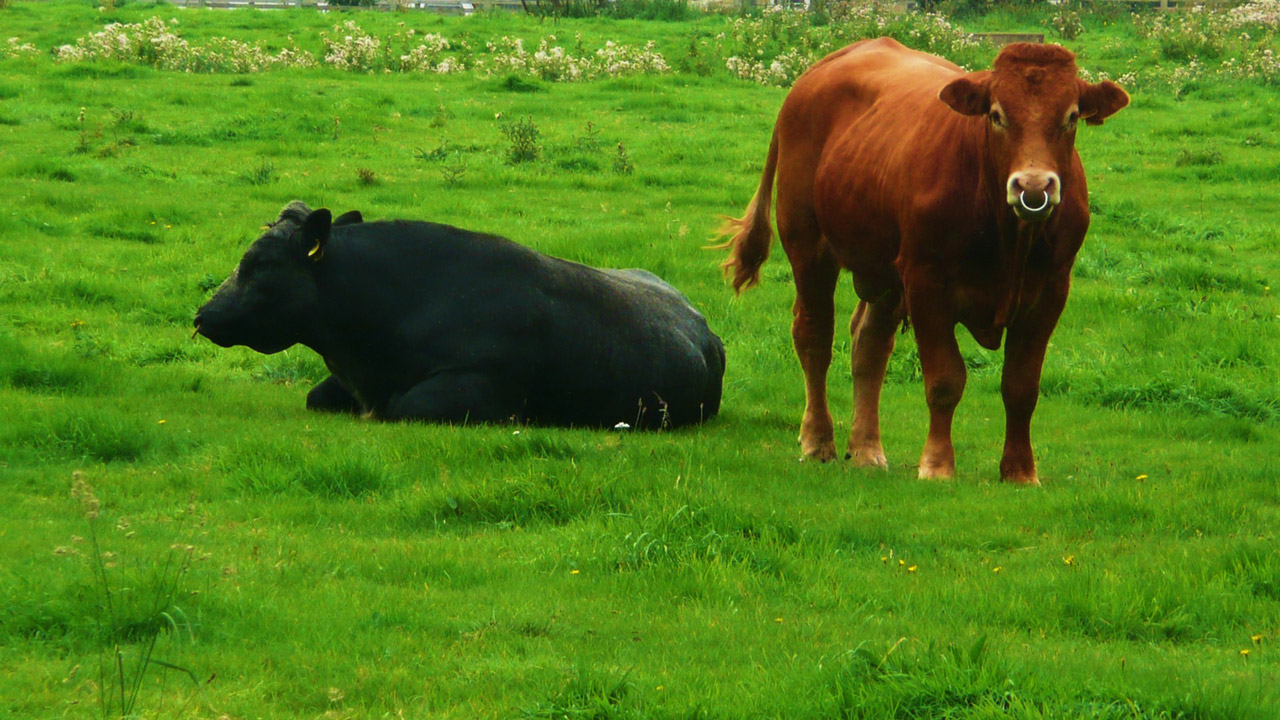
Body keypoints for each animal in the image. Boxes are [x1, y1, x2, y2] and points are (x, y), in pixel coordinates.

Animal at [721, 36, 1131, 479]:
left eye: (1071, 116)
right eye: (996, 115)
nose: (1033, 187)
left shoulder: (1051, 292)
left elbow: (1021, 386)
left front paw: (1020, 471)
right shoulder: (925, 282)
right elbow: (944, 380)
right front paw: (936, 464)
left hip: (883, 271)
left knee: (869, 346)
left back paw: (866, 448)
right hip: (808, 245)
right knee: (814, 337)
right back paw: (818, 440)